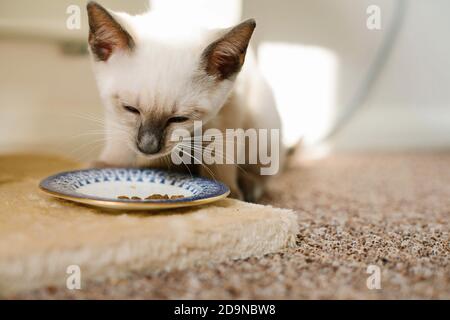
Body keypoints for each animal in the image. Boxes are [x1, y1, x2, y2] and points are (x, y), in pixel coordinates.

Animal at [86, 1, 284, 202]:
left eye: (179, 119)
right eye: (130, 109)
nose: (148, 148)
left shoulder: (231, 106)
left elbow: (219, 151)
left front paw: (229, 191)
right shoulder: (117, 117)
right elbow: (120, 141)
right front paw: (110, 166)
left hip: (262, 126)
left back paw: (249, 187)